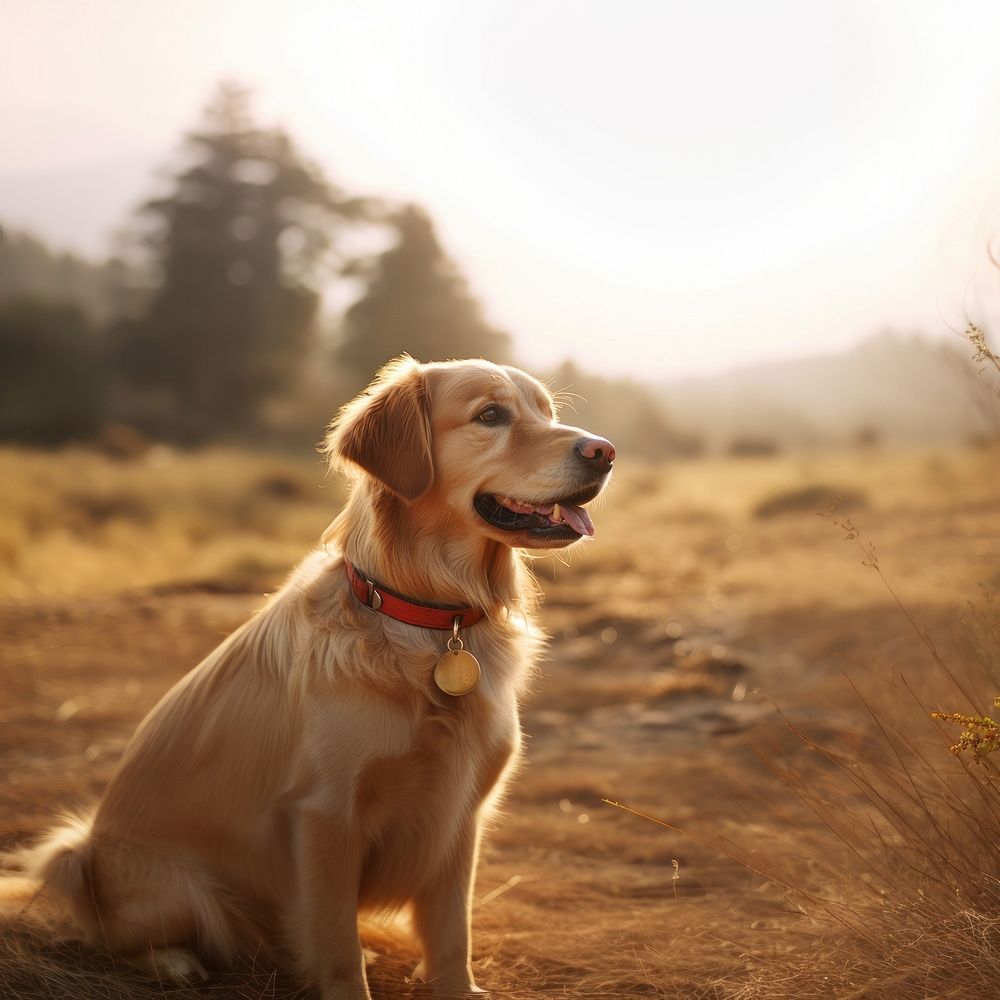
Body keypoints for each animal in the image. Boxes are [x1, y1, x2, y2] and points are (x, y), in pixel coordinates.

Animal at [1, 356, 616, 996]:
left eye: (547, 411)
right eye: (491, 415)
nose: (605, 452)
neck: (430, 621)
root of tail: (90, 855)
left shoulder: (459, 815)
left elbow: (452, 937)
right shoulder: (326, 815)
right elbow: (338, 945)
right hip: (174, 886)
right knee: (119, 936)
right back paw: (173, 960)